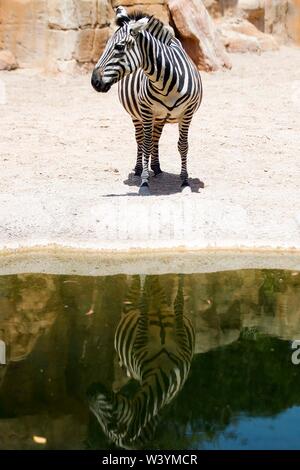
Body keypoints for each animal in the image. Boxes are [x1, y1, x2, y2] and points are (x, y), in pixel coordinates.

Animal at [87, 274, 195, 450]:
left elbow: (178, 303)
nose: (88, 392)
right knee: (139, 292)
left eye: (111, 426)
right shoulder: (140, 340)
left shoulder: (181, 337)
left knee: (153, 290)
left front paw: (181, 278)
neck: (163, 369)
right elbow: (144, 305)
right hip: (131, 307)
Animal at [92, 5, 204, 193]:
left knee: (155, 138)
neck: (166, 83)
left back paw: (157, 168)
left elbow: (182, 145)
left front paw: (185, 181)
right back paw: (139, 169)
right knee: (141, 139)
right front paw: (144, 182)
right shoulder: (145, 111)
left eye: (119, 47)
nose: (94, 82)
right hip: (138, 116)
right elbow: (145, 144)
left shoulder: (187, 113)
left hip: (159, 117)